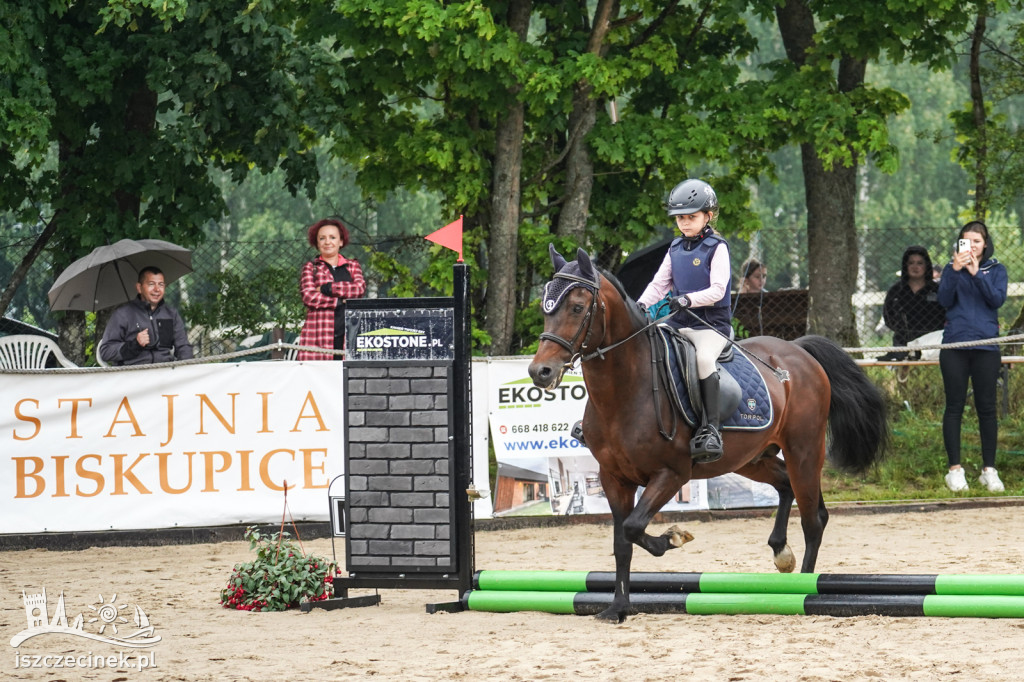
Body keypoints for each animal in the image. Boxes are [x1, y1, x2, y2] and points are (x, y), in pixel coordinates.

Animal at [528, 245, 888, 622]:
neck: (626, 390)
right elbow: (622, 543)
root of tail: (797, 349)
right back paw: (781, 553)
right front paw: (618, 608)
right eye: (545, 308)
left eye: (577, 307)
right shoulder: (613, 478)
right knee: (785, 486)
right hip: (751, 458)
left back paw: (802, 591)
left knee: (813, 519)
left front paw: (673, 538)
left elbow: (633, 527)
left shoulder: (671, 473)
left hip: (803, 450)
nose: (541, 371)